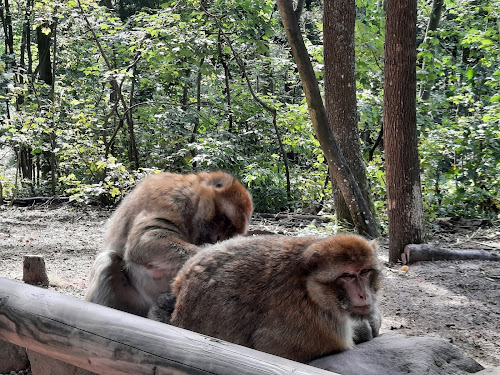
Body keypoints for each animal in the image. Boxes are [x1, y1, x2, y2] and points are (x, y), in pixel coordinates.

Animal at [84, 172, 254, 318]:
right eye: (226, 221)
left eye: (230, 233)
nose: (218, 237)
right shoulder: (173, 200)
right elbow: (145, 240)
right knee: (108, 261)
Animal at [149, 235, 382, 364]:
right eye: (347, 276)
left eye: (365, 272)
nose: (363, 294)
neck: (309, 287)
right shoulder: (318, 326)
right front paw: (363, 329)